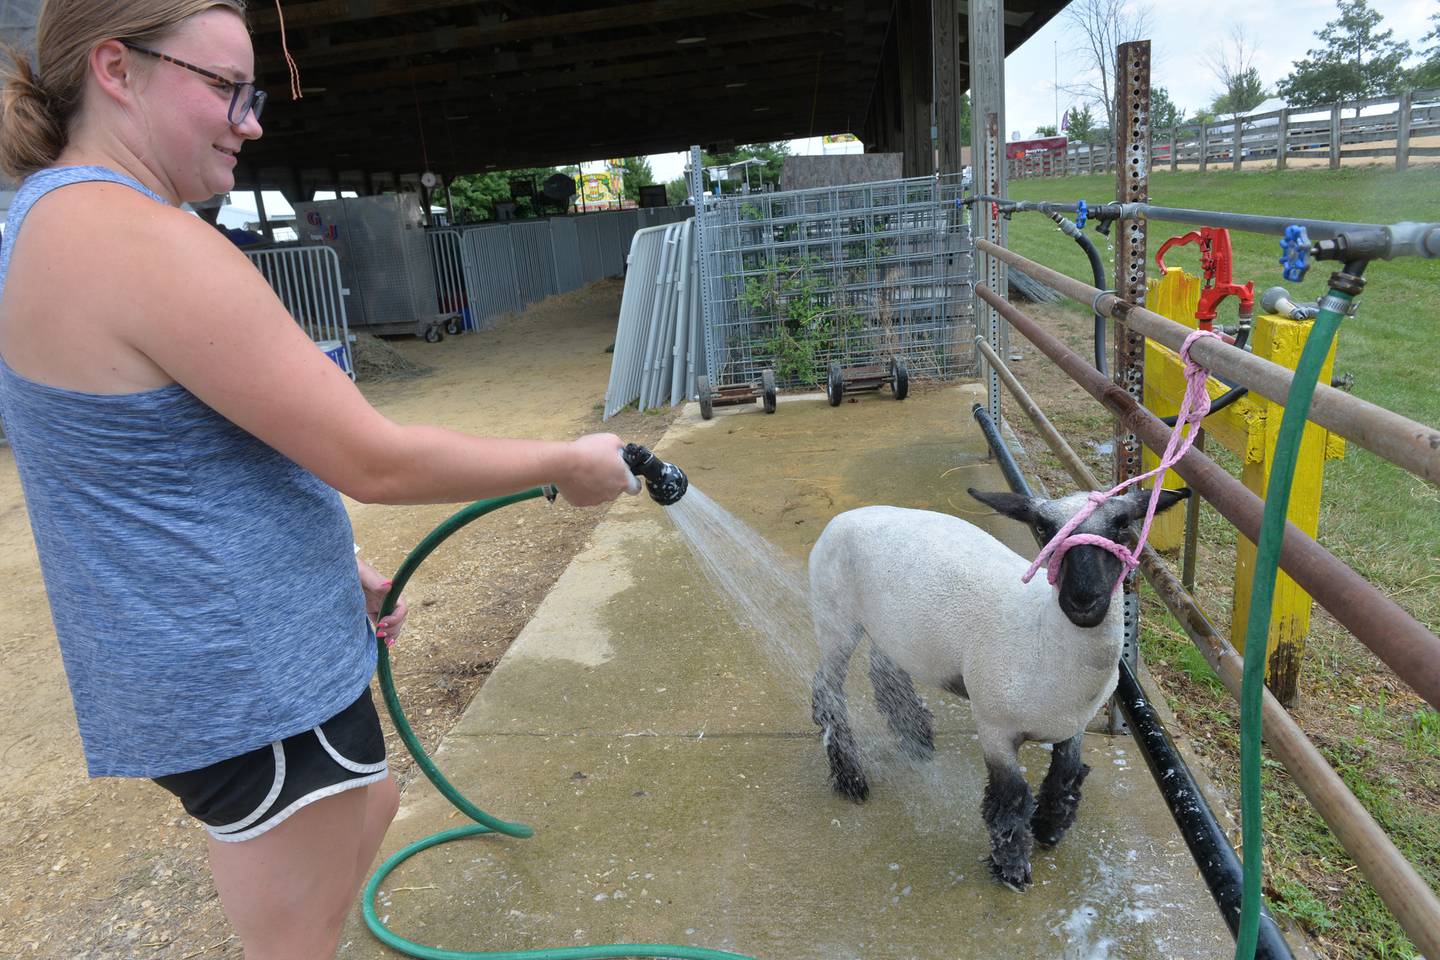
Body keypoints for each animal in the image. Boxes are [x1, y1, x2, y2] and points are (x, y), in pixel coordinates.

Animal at [812, 489, 1192, 892]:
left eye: (1122, 525)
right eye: (1043, 528)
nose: (1084, 600)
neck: (1043, 639)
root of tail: (848, 515)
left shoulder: (1074, 725)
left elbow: (1064, 776)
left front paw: (1048, 829)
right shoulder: (995, 728)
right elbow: (1010, 798)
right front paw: (1011, 867)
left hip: (894, 631)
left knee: (885, 673)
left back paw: (915, 737)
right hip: (835, 618)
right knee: (827, 689)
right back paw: (851, 777)